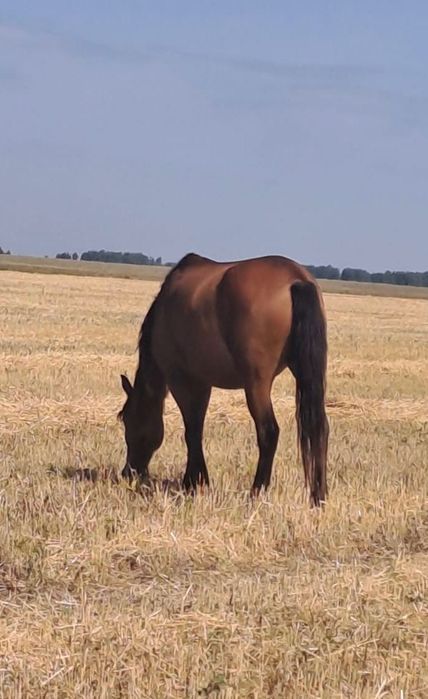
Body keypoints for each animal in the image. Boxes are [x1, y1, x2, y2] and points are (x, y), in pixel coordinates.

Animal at [118, 253, 329, 506]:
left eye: (127, 419)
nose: (128, 472)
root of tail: (296, 279)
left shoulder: (181, 379)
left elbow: (191, 430)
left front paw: (193, 482)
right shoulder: (202, 382)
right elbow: (196, 427)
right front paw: (196, 480)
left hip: (256, 384)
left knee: (268, 432)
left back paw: (257, 491)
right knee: (320, 429)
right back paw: (319, 496)